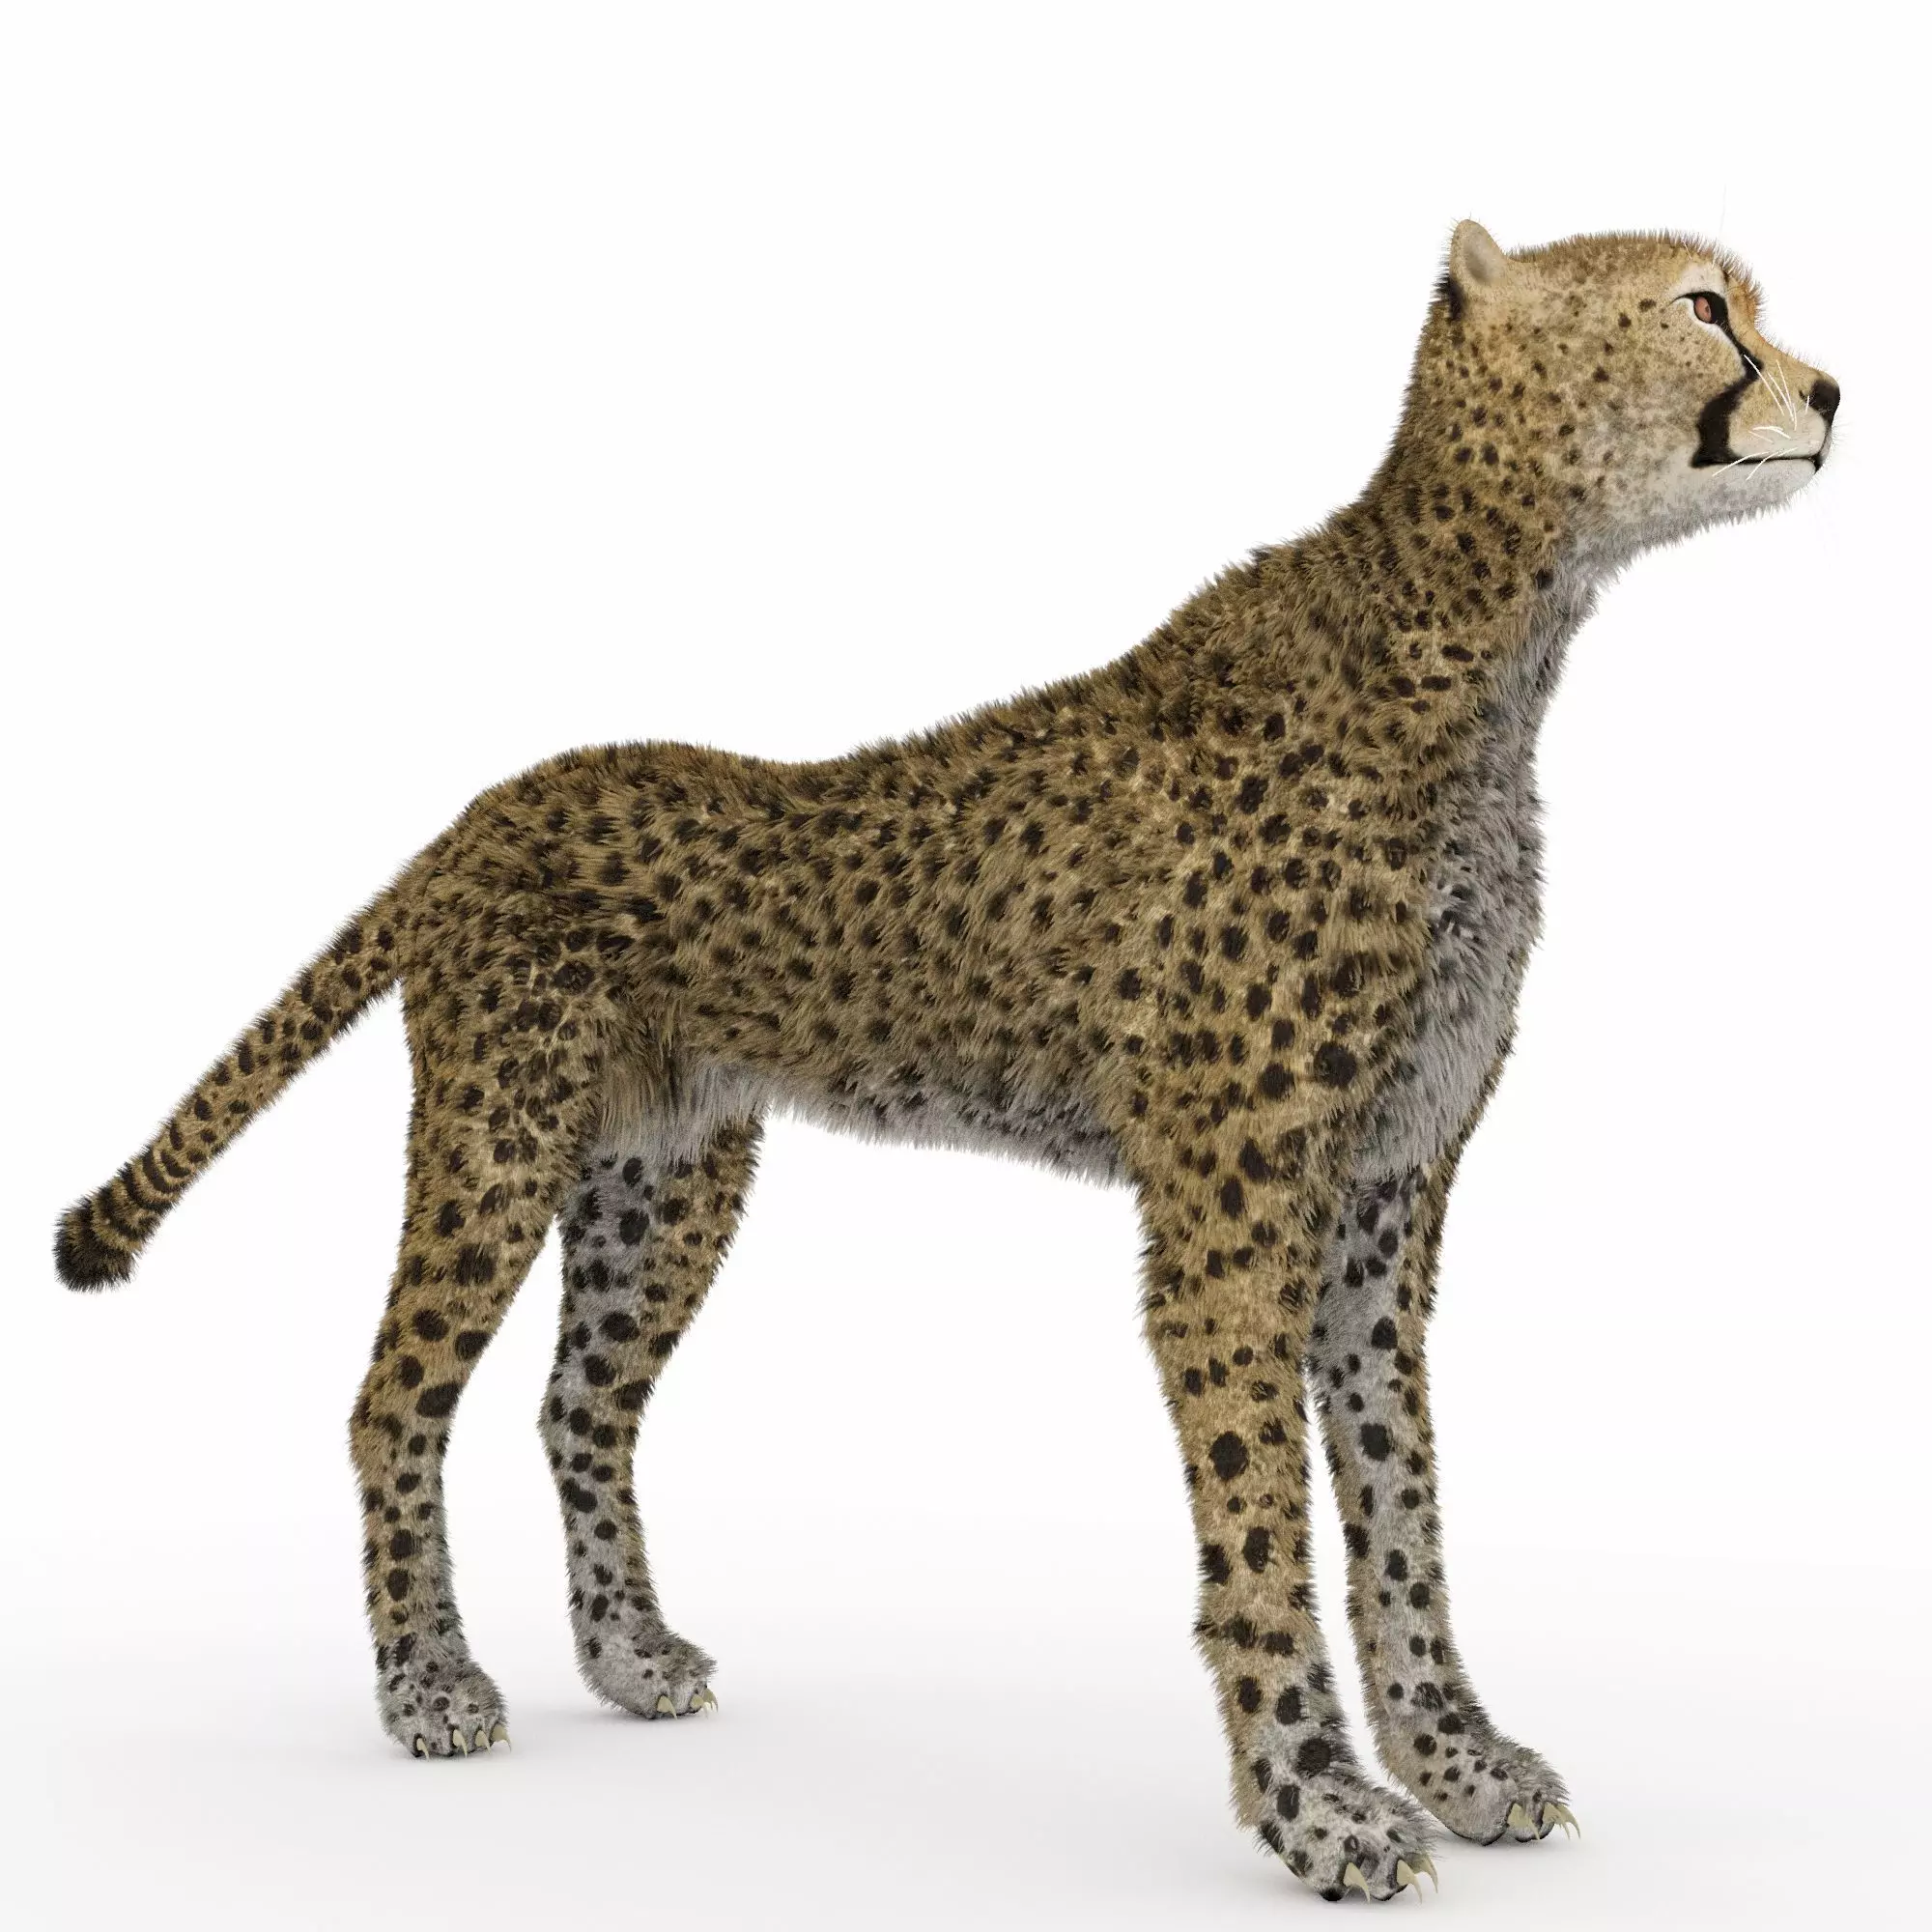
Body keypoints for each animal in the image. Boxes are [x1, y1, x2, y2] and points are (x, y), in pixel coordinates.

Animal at [54, 220, 1837, 1903]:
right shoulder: (1231, 1219)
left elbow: (1400, 1501)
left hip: (664, 1181)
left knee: (579, 1403)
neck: (1492, 640)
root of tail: (496, 801)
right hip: (497, 1144)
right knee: (391, 1400)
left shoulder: (1386, 1198)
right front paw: (1319, 1808)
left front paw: (1457, 1763)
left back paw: (626, 1653)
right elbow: (1263, 1521)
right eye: (1703, 309)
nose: (1828, 391)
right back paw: (429, 1683)